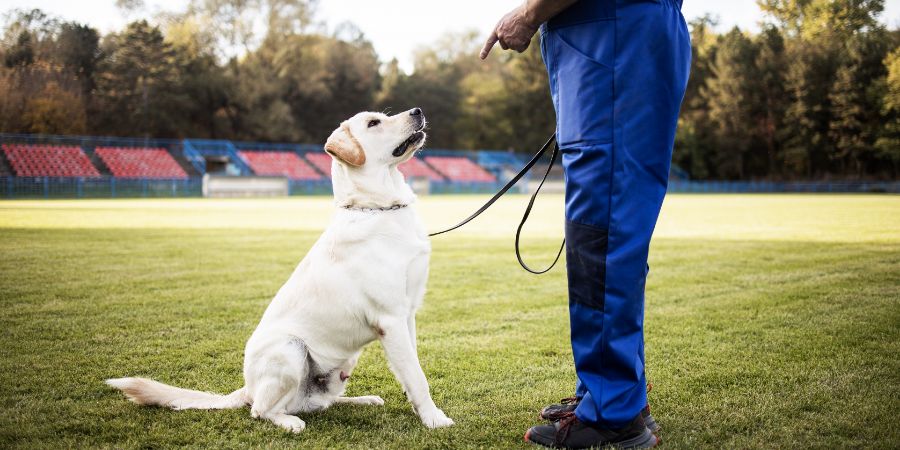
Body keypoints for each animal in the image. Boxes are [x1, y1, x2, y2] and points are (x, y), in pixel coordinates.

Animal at [107, 108, 458, 432]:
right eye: (374, 123)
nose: (417, 111)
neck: (376, 208)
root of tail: (246, 388)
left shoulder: (407, 314)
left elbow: (411, 368)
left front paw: (418, 407)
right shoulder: (390, 318)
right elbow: (417, 375)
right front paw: (434, 419)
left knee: (319, 402)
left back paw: (362, 399)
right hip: (290, 349)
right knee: (261, 410)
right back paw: (289, 422)